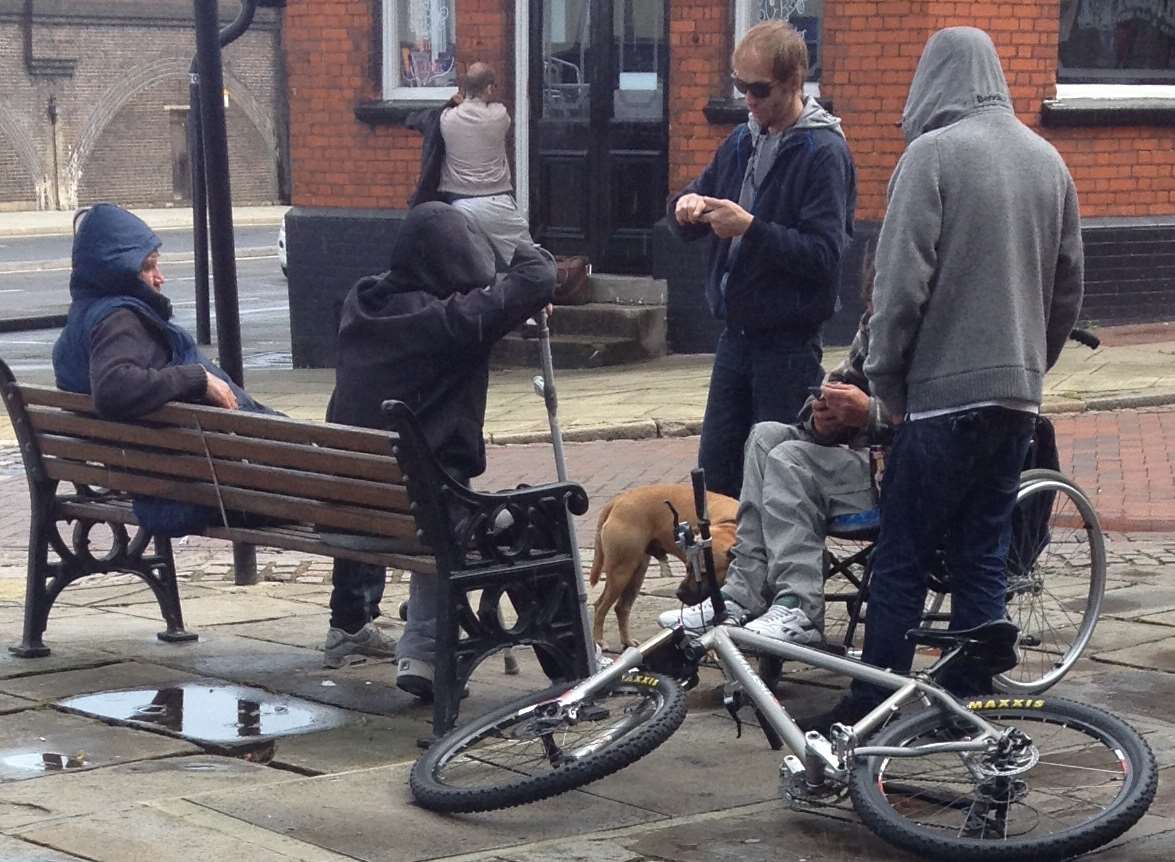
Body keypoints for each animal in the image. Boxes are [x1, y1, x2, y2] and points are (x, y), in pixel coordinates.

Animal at [592, 486, 737, 648]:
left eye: (704, 572)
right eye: (688, 567)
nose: (679, 594)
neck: (729, 526)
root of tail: (618, 501)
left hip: (636, 573)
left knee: (621, 608)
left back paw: (627, 641)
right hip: (621, 573)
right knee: (600, 606)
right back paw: (598, 640)